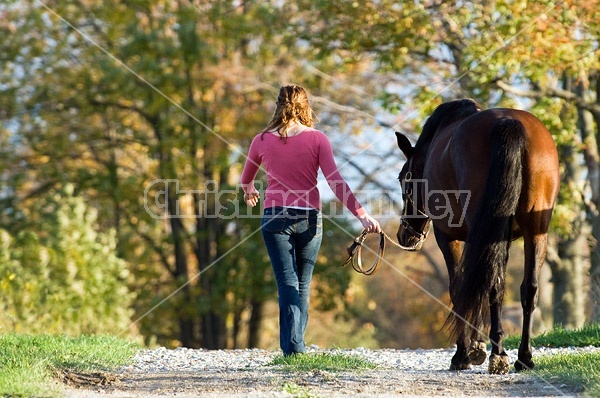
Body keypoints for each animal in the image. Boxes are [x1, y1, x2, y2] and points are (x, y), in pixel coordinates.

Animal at [396, 98, 560, 374]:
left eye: (402, 178)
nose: (405, 235)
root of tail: (508, 123)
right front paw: (478, 346)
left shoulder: (447, 237)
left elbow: (459, 287)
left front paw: (465, 352)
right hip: (535, 230)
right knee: (528, 289)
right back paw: (523, 358)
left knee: (491, 284)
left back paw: (498, 355)